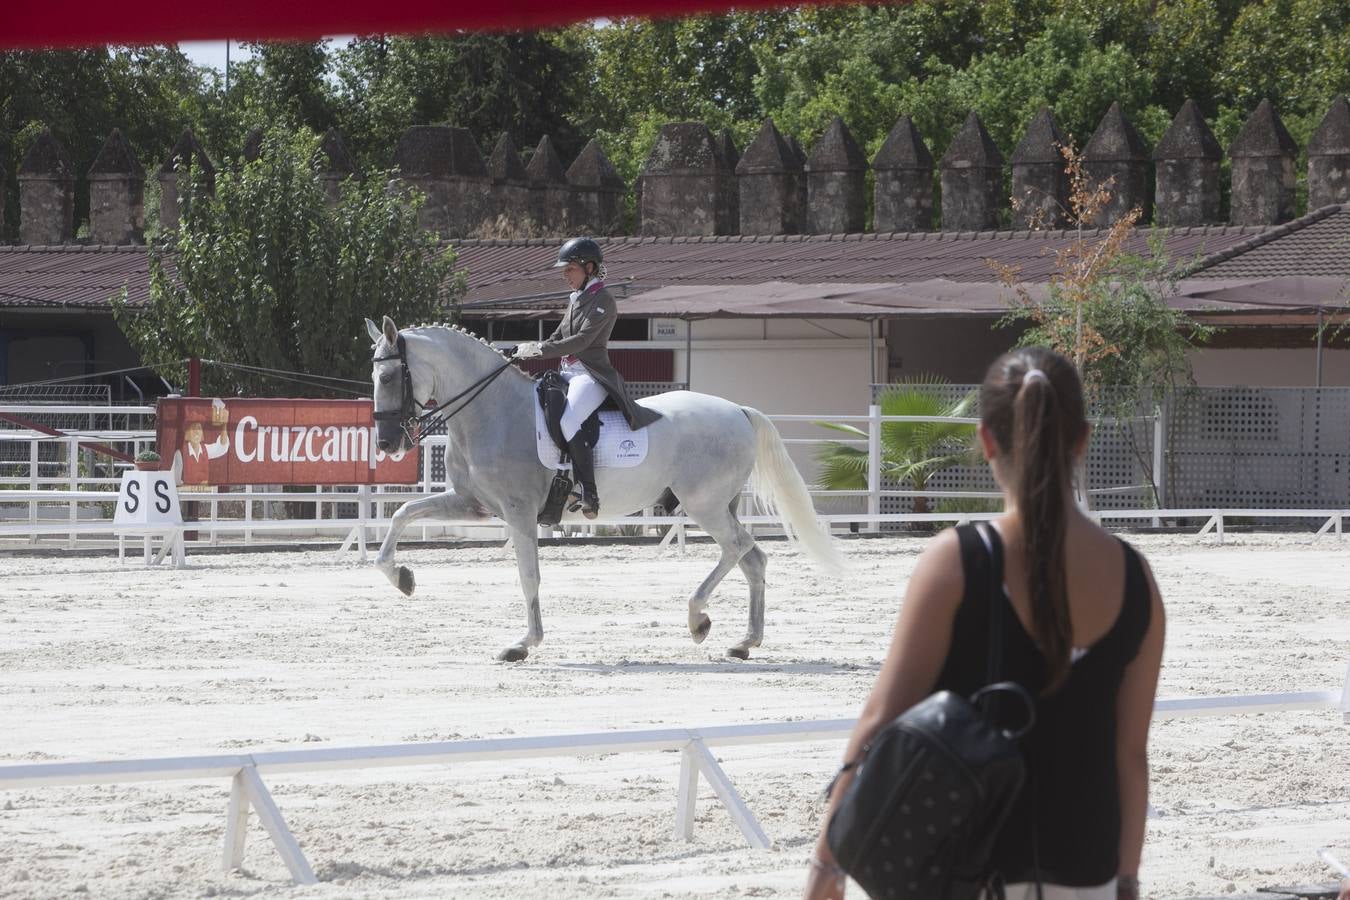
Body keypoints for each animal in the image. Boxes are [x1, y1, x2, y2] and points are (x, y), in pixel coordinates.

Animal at [364, 317, 837, 661]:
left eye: (387, 378)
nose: (387, 444)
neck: (491, 410)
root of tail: (738, 410)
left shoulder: (518, 512)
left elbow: (528, 575)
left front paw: (523, 644)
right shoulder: (473, 504)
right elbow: (403, 513)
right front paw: (402, 577)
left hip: (705, 505)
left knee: (738, 548)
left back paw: (698, 618)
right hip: (721, 505)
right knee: (752, 558)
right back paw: (744, 643)